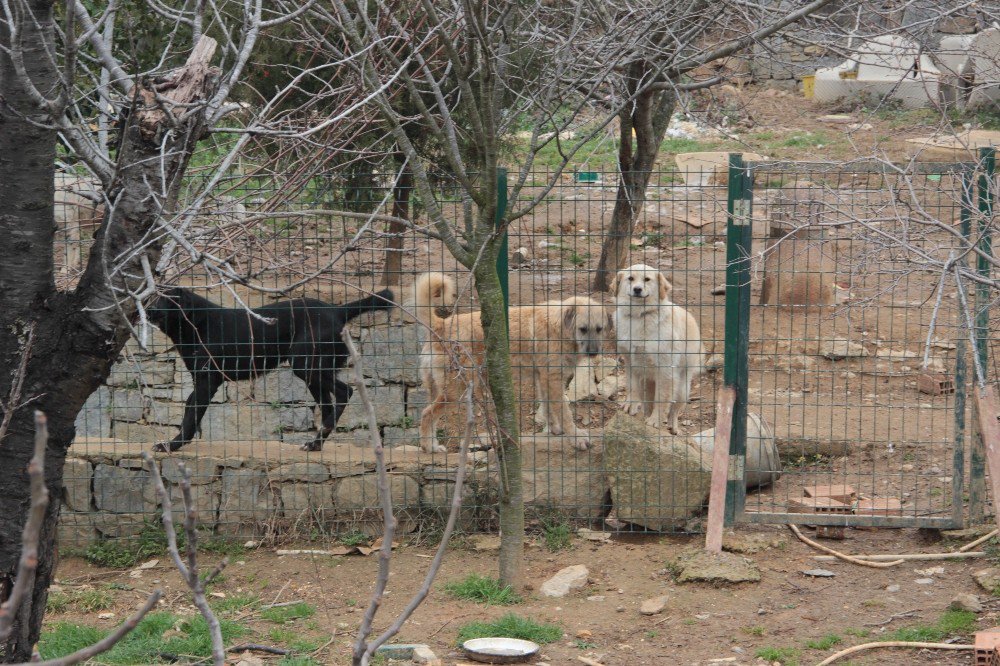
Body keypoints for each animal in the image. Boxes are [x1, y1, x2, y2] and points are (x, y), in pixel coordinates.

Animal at [146, 286, 392, 452]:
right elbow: (191, 408)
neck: (195, 323)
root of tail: (337, 310)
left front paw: (173, 445)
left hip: (305, 365)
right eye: (152, 297)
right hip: (312, 371)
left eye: (166, 299)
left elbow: (190, 412)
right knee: (328, 405)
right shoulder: (200, 379)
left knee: (344, 392)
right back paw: (315, 443)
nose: (148, 310)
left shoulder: (208, 380)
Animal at [410, 270, 604, 452]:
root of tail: (441, 325)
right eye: (583, 329)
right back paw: (430, 448)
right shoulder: (553, 380)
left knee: (429, 415)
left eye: (599, 329)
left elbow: (548, 408)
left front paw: (555, 430)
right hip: (457, 392)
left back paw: (431, 446)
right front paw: (576, 436)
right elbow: (564, 412)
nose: (594, 353)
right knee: (427, 414)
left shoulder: (544, 380)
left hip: (440, 390)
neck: (560, 328)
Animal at [608, 262, 704, 434]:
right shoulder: (631, 362)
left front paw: (655, 421)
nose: (637, 289)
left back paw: (673, 427)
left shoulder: (666, 370)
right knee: (648, 402)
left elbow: (662, 399)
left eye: (647, 279)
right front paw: (631, 405)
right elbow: (632, 386)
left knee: (674, 411)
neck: (640, 316)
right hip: (647, 382)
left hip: (682, 389)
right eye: (630, 278)